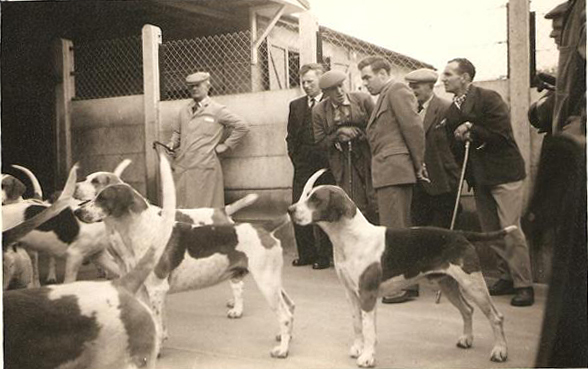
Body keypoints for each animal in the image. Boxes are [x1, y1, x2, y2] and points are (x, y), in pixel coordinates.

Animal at [288, 169, 508, 366]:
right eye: (307, 196)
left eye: (315, 199)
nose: (290, 210)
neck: (350, 238)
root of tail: (460, 233)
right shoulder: (351, 294)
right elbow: (357, 324)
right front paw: (358, 349)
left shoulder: (367, 295)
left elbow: (369, 330)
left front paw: (367, 357)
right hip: (447, 284)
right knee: (468, 310)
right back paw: (467, 339)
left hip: (473, 284)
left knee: (496, 317)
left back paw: (500, 351)